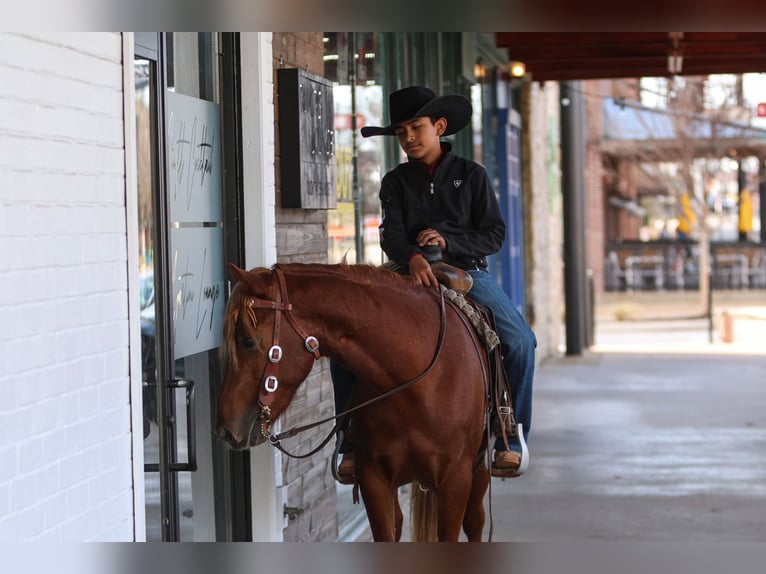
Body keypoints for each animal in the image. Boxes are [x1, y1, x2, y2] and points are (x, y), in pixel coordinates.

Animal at [216, 264, 492, 544]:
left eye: (248, 341)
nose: (225, 430)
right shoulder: (374, 480)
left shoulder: (455, 483)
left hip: (478, 473)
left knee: (474, 522)